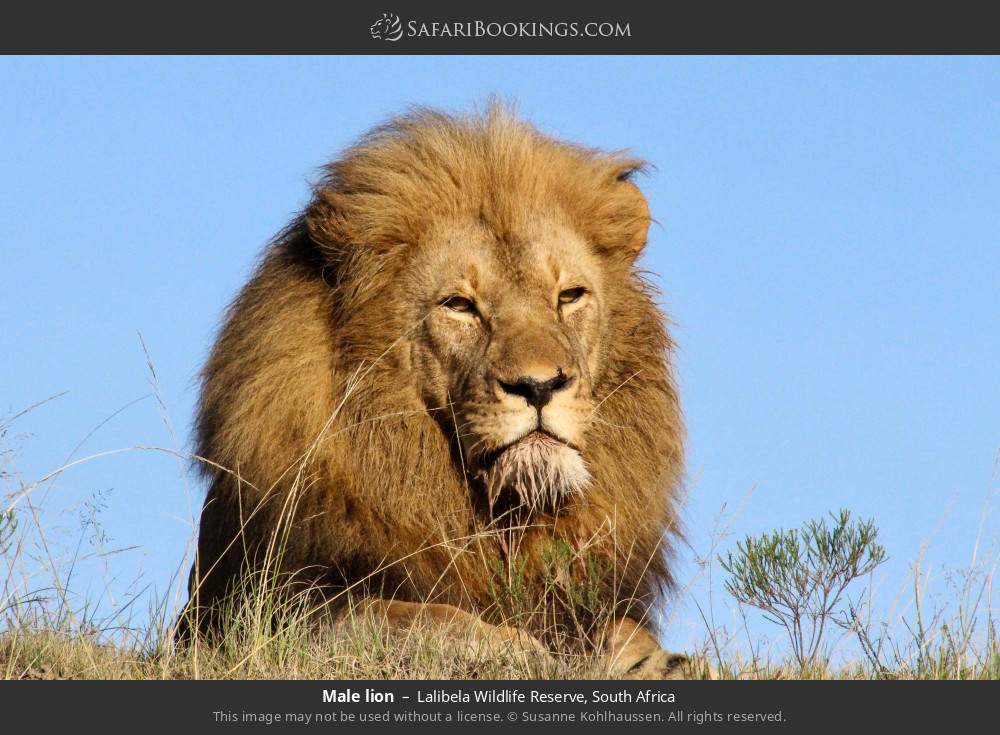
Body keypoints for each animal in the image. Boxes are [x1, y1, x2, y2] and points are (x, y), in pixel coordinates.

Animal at [178, 104, 687, 678]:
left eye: (570, 296)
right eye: (459, 305)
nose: (539, 386)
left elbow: (622, 629)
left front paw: (652, 660)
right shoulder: (265, 615)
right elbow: (414, 617)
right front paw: (519, 650)